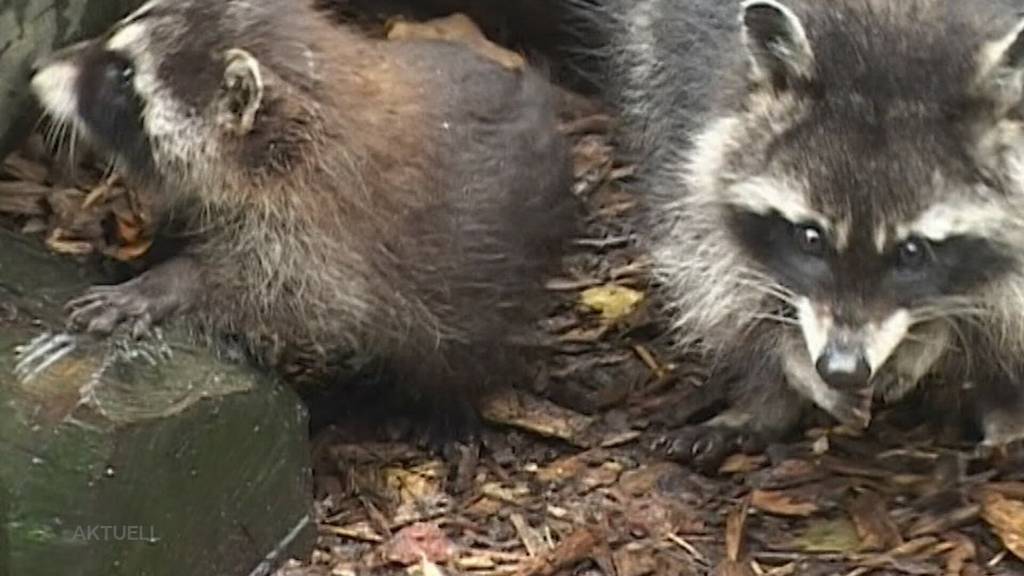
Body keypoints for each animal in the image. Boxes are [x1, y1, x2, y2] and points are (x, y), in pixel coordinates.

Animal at [29, 0, 577, 434]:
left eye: (123, 77)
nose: (35, 70)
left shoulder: (325, 224)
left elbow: (293, 294)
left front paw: (170, 282)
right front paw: (155, 252)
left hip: (497, 273)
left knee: (464, 345)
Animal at [593, 0, 1024, 469]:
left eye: (912, 252)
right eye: (810, 238)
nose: (842, 369)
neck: (892, 22)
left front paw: (936, 335)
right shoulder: (687, 77)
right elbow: (713, 257)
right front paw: (786, 362)